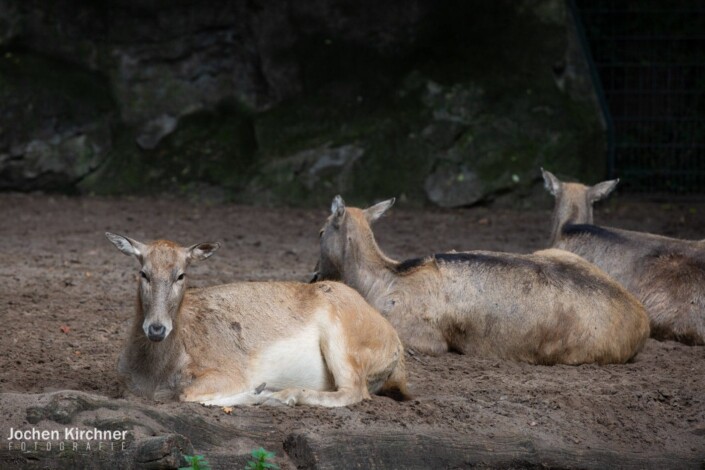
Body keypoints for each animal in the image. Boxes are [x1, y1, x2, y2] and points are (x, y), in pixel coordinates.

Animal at [104, 232, 408, 408]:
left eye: (181, 274)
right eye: (143, 272)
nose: (156, 328)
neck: (154, 376)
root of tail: (395, 345)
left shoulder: (229, 371)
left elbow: (187, 394)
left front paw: (263, 393)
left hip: (344, 342)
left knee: (354, 391)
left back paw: (285, 395)